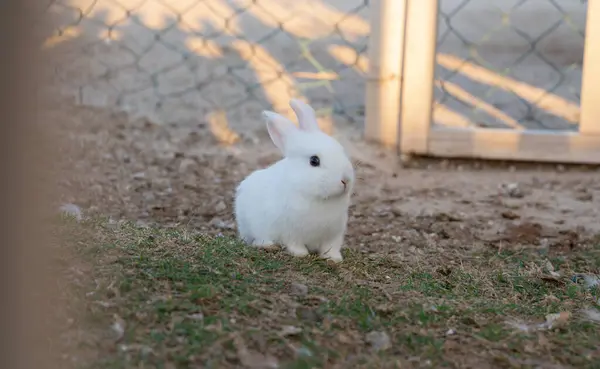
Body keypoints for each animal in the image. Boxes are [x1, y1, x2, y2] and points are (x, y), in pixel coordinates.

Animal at [234, 98, 354, 262]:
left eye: (341, 151)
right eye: (314, 161)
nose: (345, 180)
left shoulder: (334, 233)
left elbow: (330, 247)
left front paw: (334, 259)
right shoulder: (291, 232)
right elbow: (295, 244)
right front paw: (300, 254)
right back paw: (269, 245)